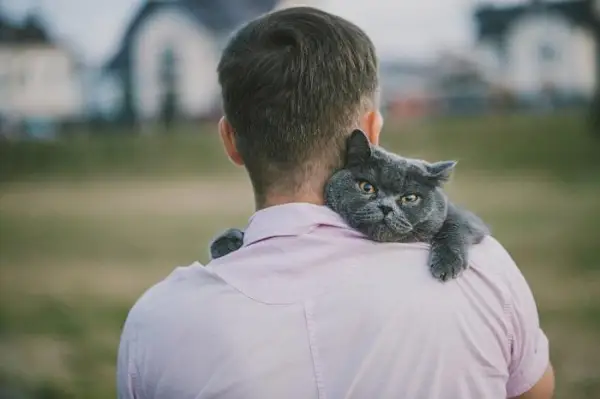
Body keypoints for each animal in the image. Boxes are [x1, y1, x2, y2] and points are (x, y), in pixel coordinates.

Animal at [209, 130, 490, 282]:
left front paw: (446, 264)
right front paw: (227, 241)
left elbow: (453, 225)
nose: (386, 207)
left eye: (410, 198)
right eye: (367, 187)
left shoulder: (469, 219)